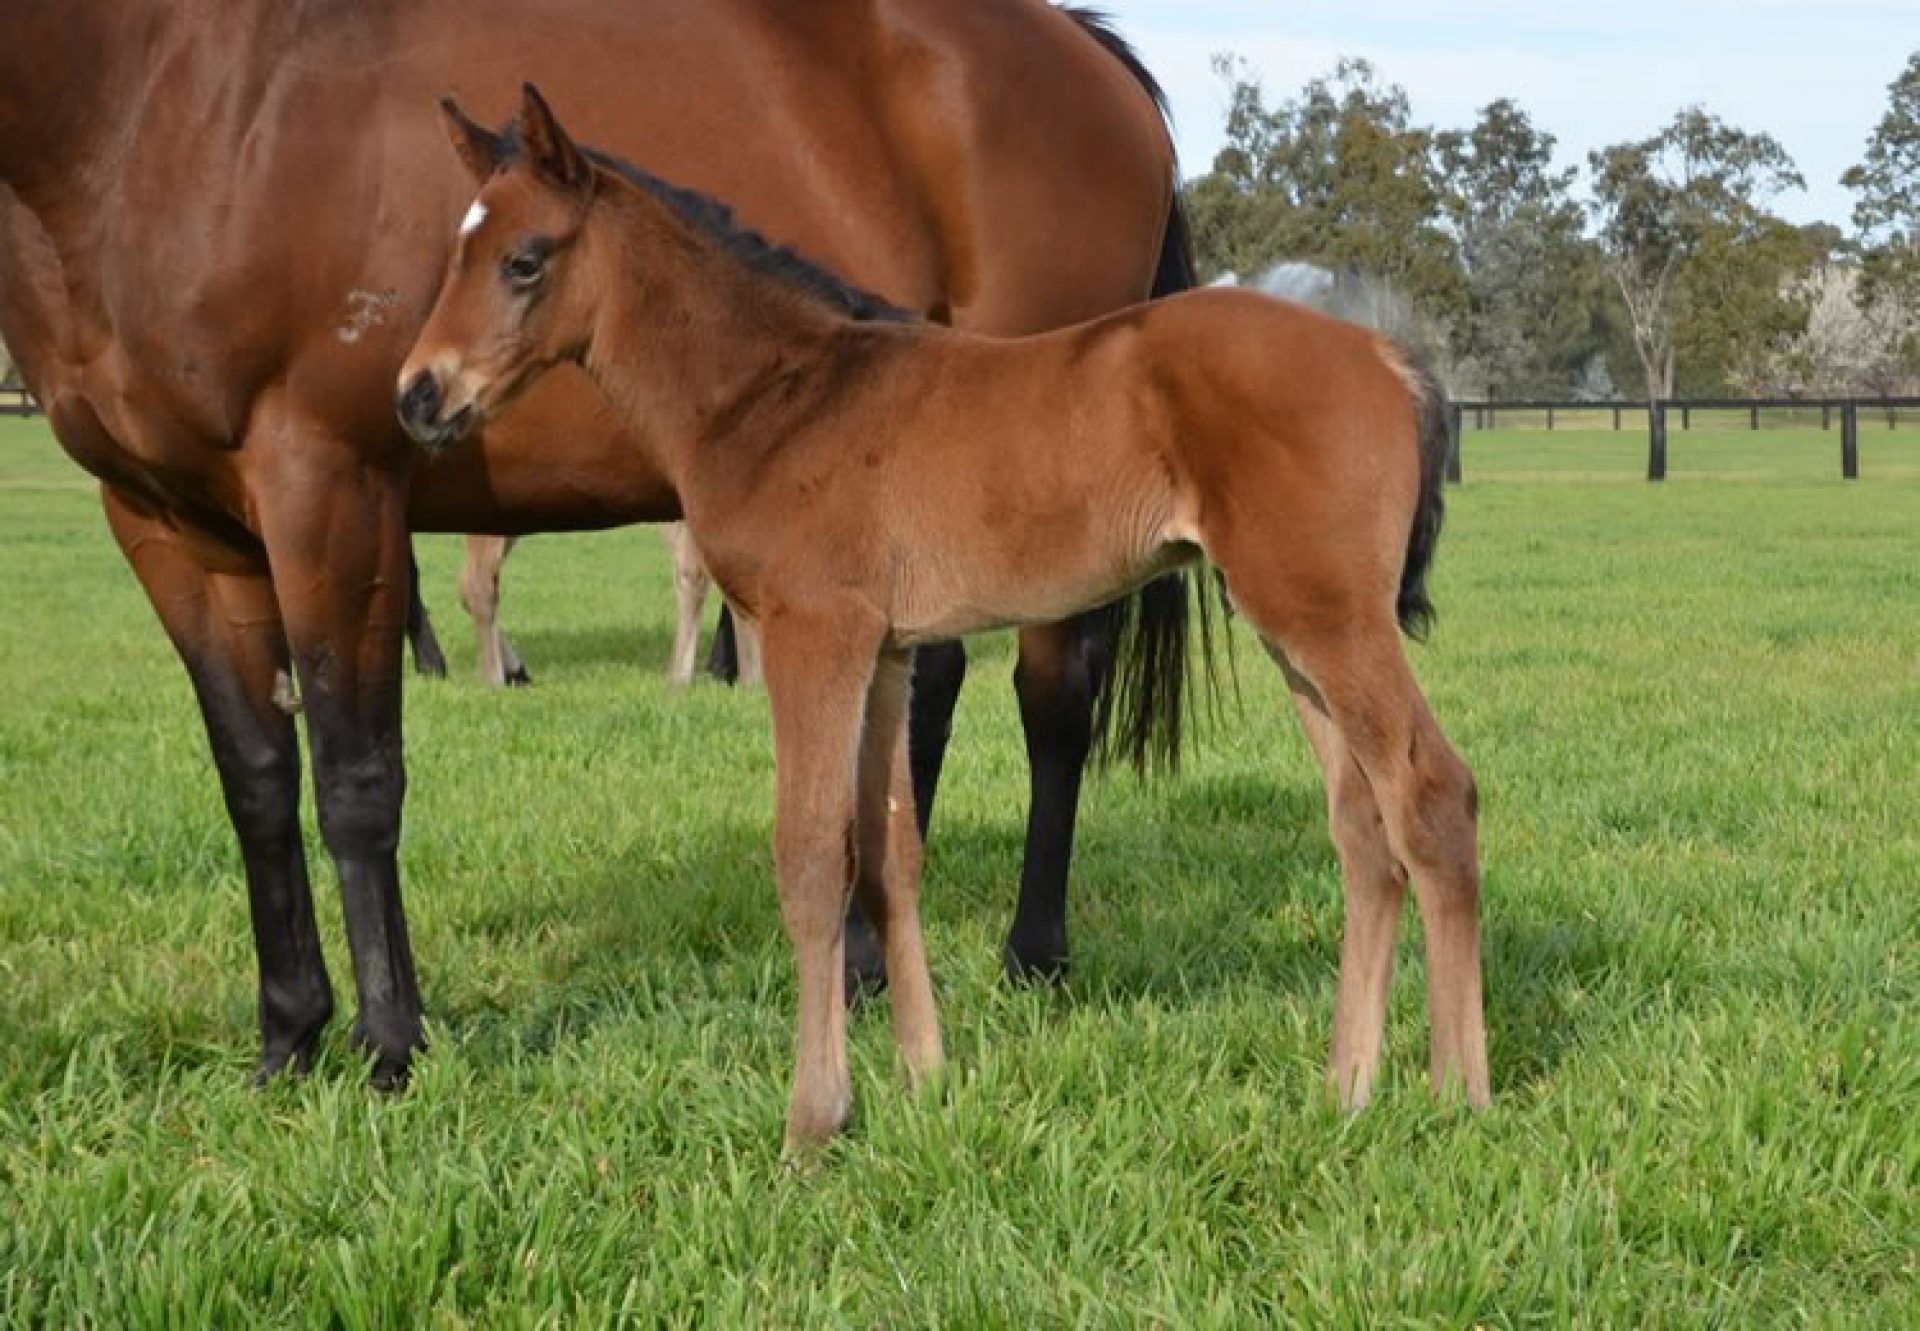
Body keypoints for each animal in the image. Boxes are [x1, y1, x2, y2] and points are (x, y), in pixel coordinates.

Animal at [3, 0, 1198, 1083]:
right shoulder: (165, 520)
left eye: (521, 259)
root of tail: (1086, 46)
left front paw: (390, 1045)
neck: (178, 95)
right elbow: (255, 776)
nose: (423, 394)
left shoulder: (330, 487)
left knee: (1054, 696)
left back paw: (1031, 954)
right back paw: (865, 962)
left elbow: (354, 778)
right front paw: (286, 1040)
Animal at [397, 88, 1489, 1144]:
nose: (417, 395)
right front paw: (924, 1082)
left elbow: (813, 856)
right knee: (1364, 827)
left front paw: (814, 1120)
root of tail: (1390, 355)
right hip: (1292, 627)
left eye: (524, 259)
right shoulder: (886, 652)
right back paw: (1348, 1088)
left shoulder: (814, 635)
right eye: (453, 252)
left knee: (1433, 795)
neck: (781, 393)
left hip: (1330, 618)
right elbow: (891, 853)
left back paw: (1457, 1094)